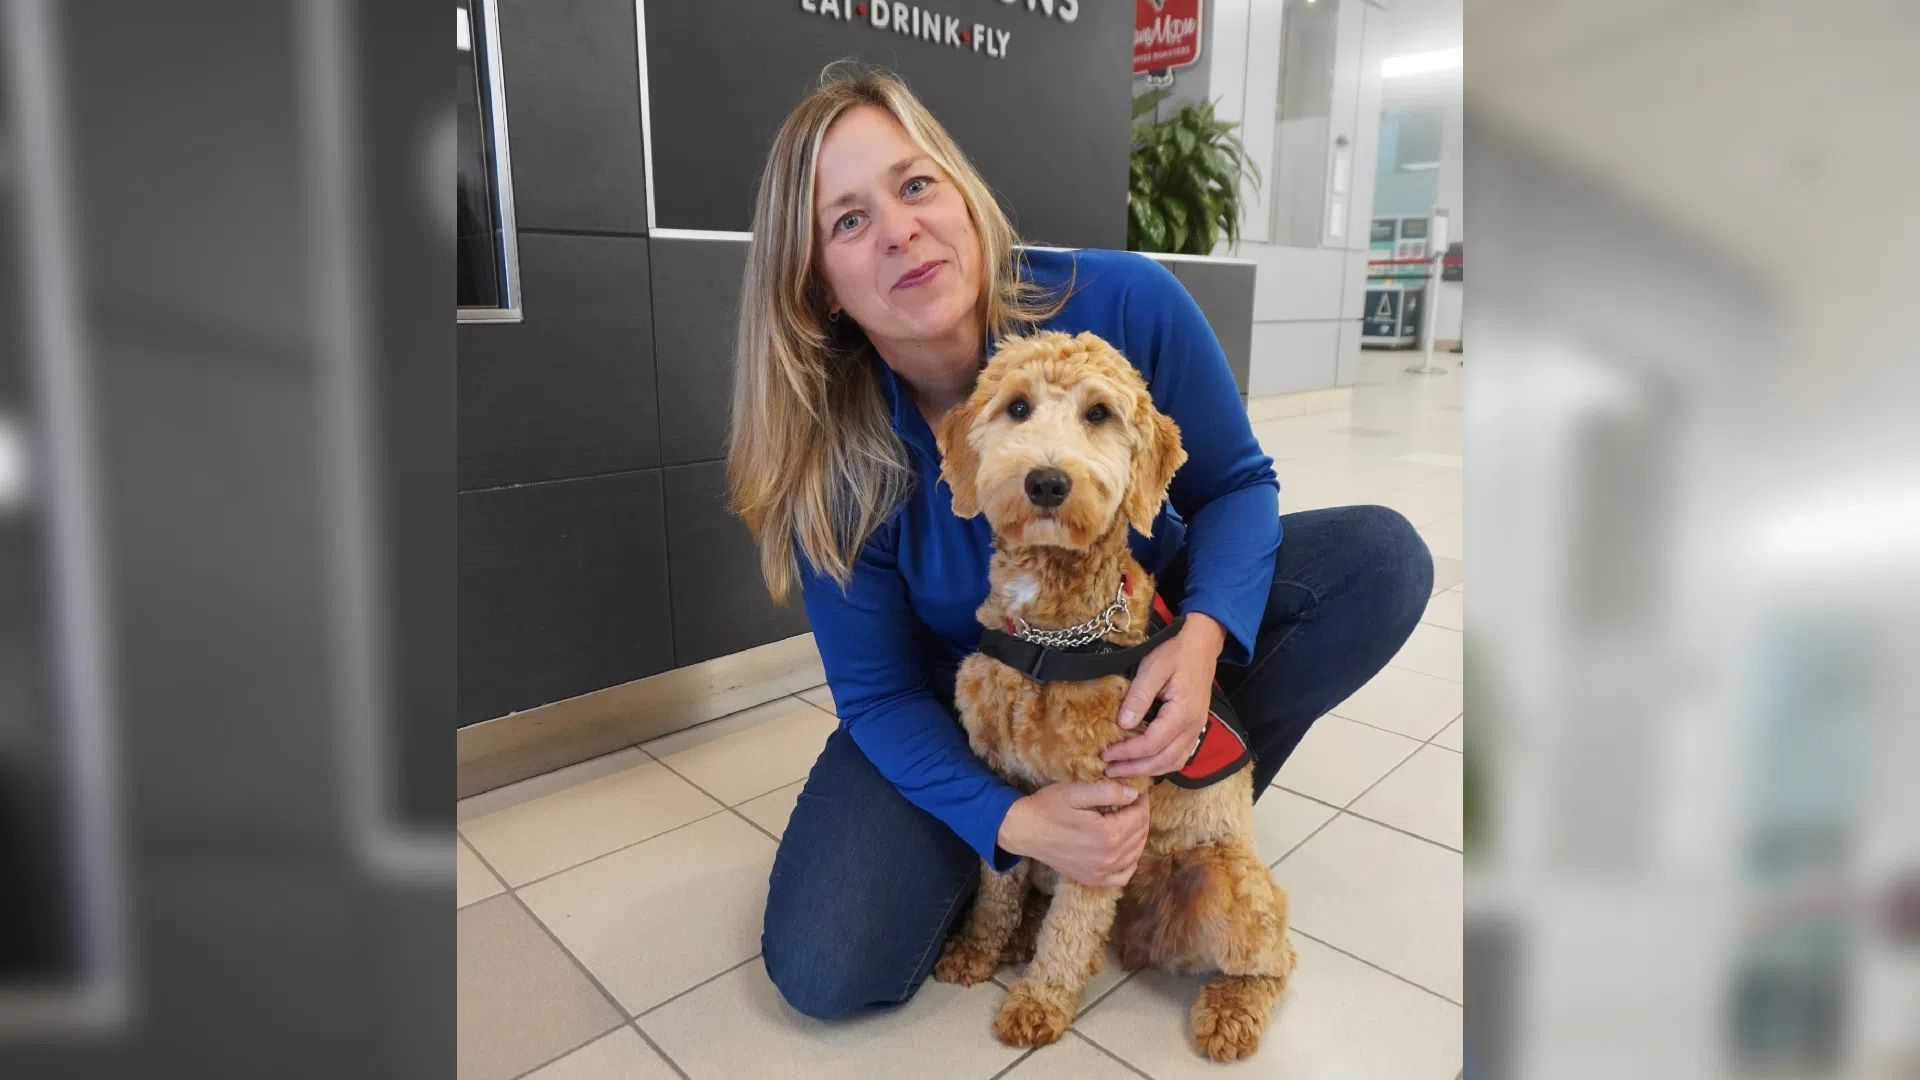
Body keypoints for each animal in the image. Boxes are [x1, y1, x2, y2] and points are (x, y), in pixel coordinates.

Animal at [925, 330, 1297, 1060]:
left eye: (1098, 413)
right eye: (1017, 406)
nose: (1047, 481)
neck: (1051, 636)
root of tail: (1142, 940)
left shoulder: (1105, 812)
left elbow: (1072, 929)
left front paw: (1040, 1001)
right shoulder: (1009, 786)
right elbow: (996, 883)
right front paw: (980, 946)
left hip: (1226, 885)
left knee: (1277, 958)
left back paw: (1231, 1012)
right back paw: (1021, 935)